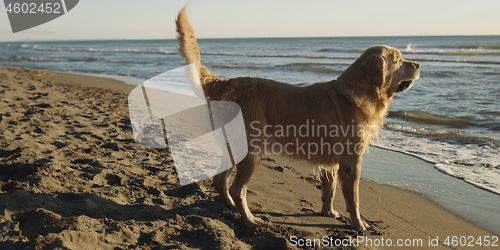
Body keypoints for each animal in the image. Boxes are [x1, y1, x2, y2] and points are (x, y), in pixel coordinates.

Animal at [175, 7, 418, 230]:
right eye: (399, 60)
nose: (418, 65)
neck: (360, 90)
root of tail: (226, 82)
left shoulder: (331, 162)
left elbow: (329, 190)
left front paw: (328, 212)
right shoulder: (351, 163)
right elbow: (354, 199)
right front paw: (359, 224)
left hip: (236, 147)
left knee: (220, 180)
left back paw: (231, 208)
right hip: (253, 150)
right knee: (237, 188)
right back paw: (250, 219)